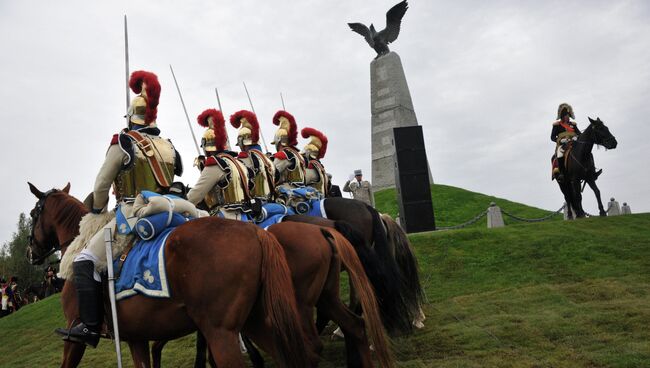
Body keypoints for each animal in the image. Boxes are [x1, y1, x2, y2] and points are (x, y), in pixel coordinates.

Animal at [26, 183, 308, 368]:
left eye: (32, 214)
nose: (30, 253)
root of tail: (256, 232)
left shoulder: (75, 341)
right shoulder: (136, 337)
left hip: (222, 332)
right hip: (261, 321)